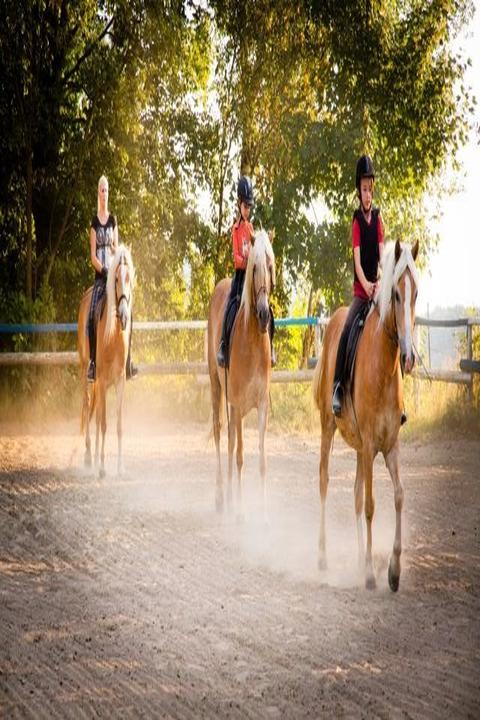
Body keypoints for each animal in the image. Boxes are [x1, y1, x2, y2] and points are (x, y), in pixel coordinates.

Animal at [77, 245, 135, 476]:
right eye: (116, 279)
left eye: (129, 278)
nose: (124, 315)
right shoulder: (100, 380)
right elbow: (102, 424)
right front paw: (101, 468)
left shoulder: (119, 381)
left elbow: (117, 425)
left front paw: (119, 467)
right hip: (86, 370)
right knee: (87, 406)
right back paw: (88, 457)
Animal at [314, 242, 418, 592]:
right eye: (396, 294)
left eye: (415, 293)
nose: (408, 357)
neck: (383, 367)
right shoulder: (372, 445)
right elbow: (372, 505)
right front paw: (373, 574)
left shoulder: (389, 446)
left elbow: (398, 496)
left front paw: (394, 571)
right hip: (328, 428)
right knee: (325, 482)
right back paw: (324, 557)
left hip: (361, 449)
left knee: (357, 495)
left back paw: (361, 559)